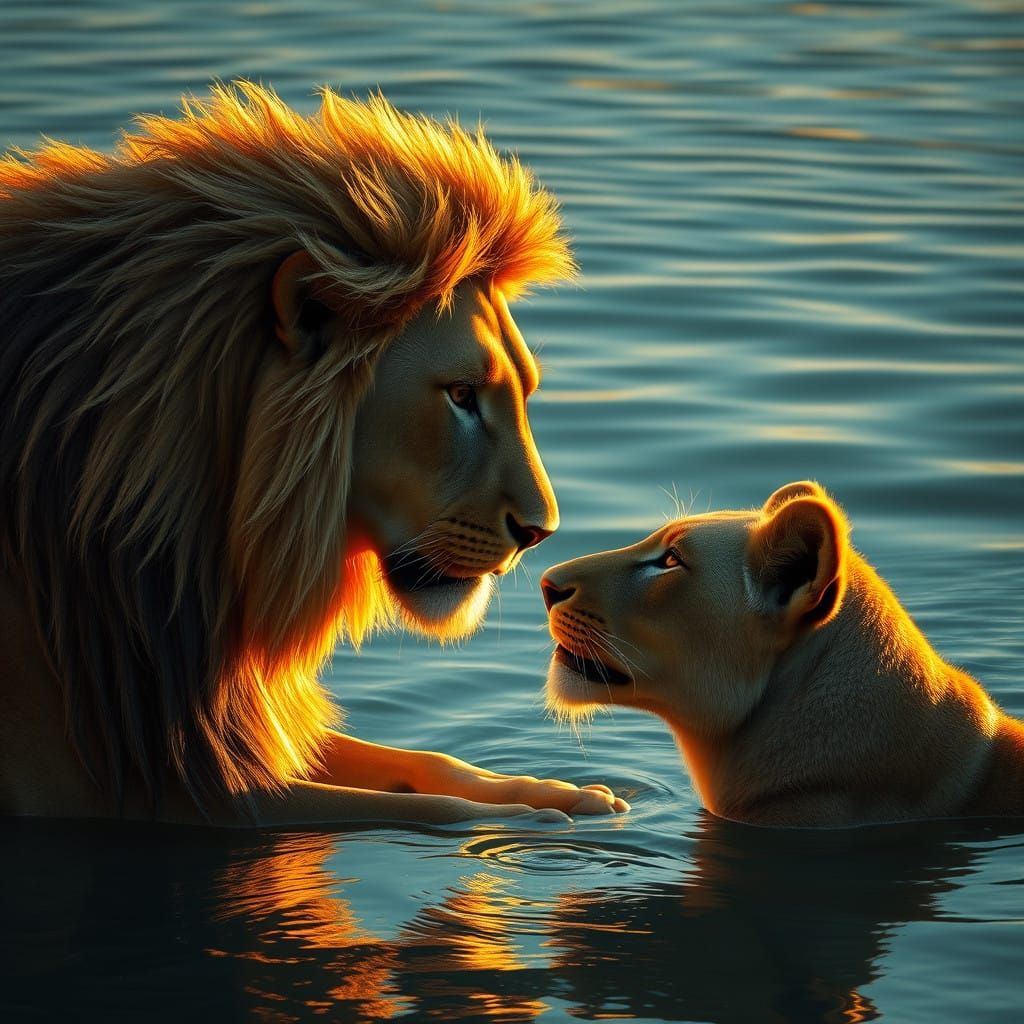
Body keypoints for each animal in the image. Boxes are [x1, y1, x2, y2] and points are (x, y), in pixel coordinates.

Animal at [0, 82, 627, 826]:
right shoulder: (132, 786)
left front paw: (563, 792)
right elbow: (425, 809)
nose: (540, 532)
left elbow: (427, 766)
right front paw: (535, 820)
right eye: (462, 395)